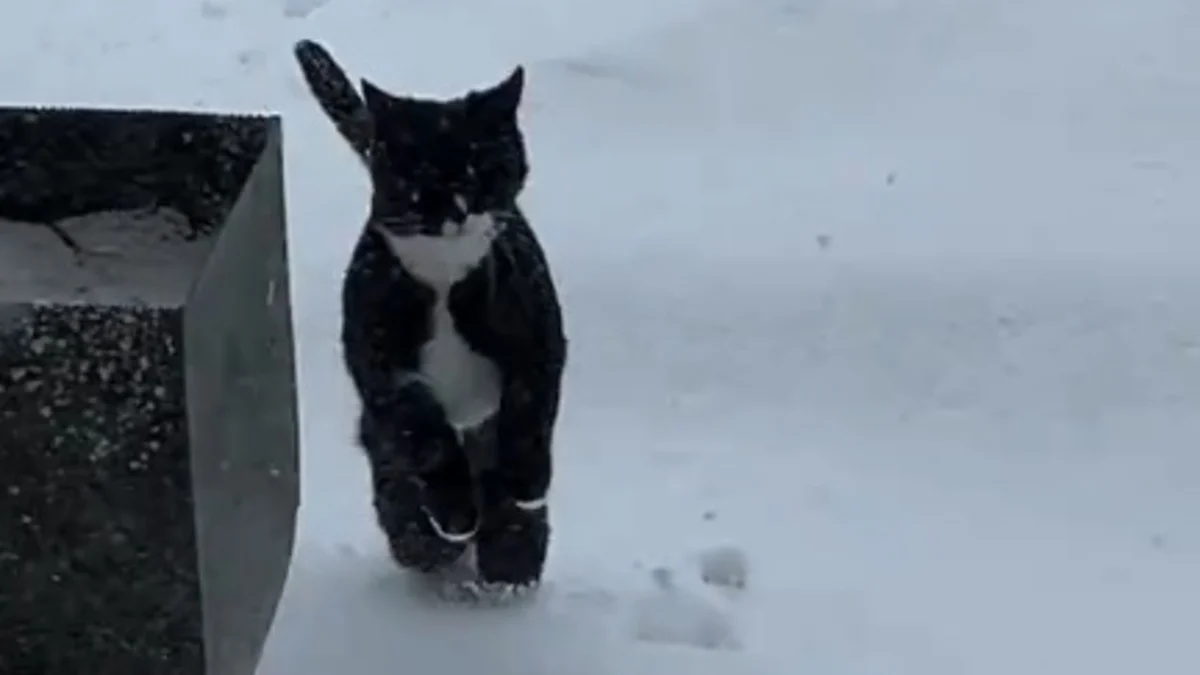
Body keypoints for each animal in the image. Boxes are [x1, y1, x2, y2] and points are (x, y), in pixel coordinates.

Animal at [294, 38, 566, 588]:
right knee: (397, 476)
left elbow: (528, 412)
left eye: (487, 168)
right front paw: (455, 515)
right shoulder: (384, 369)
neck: (444, 273)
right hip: (381, 433)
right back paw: (424, 540)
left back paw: (511, 556)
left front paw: (526, 486)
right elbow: (424, 435)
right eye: (422, 177)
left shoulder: (538, 336)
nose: (459, 209)